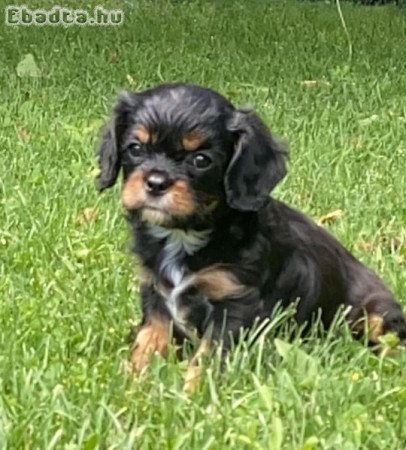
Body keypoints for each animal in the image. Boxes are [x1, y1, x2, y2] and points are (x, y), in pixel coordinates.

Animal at [98, 83, 406, 384]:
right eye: (135, 148)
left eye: (201, 160)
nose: (156, 183)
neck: (183, 235)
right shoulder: (155, 294)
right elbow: (148, 340)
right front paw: (133, 384)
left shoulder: (234, 302)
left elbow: (208, 356)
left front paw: (193, 392)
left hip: (374, 313)